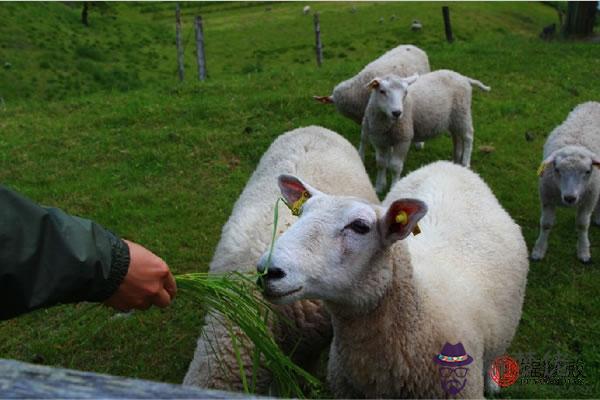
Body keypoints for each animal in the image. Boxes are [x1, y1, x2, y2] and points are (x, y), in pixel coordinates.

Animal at [358, 69, 490, 193]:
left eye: (405, 93)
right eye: (382, 91)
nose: (397, 113)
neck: (386, 123)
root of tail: (462, 77)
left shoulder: (404, 139)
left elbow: (395, 166)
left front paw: (393, 187)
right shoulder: (379, 140)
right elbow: (381, 163)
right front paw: (379, 187)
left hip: (462, 113)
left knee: (468, 136)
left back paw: (466, 162)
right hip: (453, 120)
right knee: (457, 137)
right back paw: (456, 160)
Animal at [528, 101, 600, 262]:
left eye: (588, 171)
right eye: (557, 169)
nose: (570, 198)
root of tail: (594, 103)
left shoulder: (589, 199)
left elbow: (582, 225)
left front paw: (584, 251)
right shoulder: (547, 197)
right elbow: (546, 224)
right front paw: (539, 250)